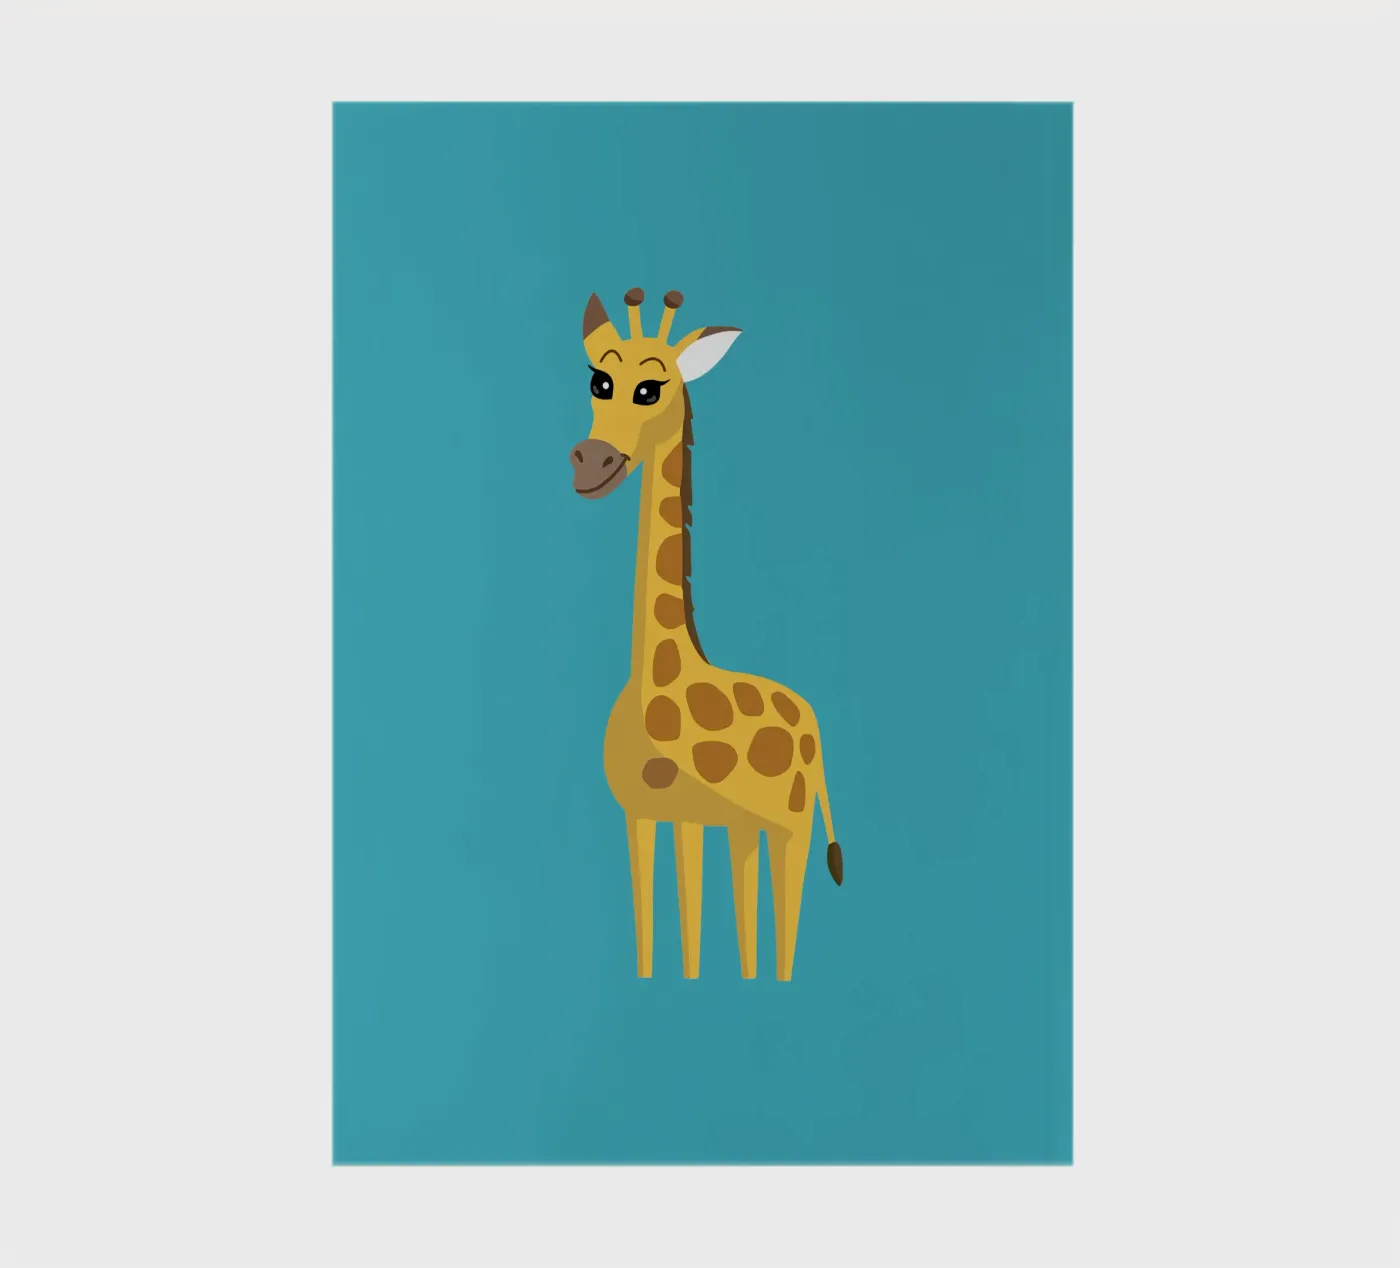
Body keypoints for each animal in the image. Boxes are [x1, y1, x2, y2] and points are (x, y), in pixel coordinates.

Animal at [569, 287, 844, 982]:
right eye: (598, 380)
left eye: (651, 389)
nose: (591, 462)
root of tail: (812, 723)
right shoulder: (654, 814)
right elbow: (663, 929)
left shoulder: (699, 818)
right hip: (750, 827)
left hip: (795, 823)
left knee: (786, 916)